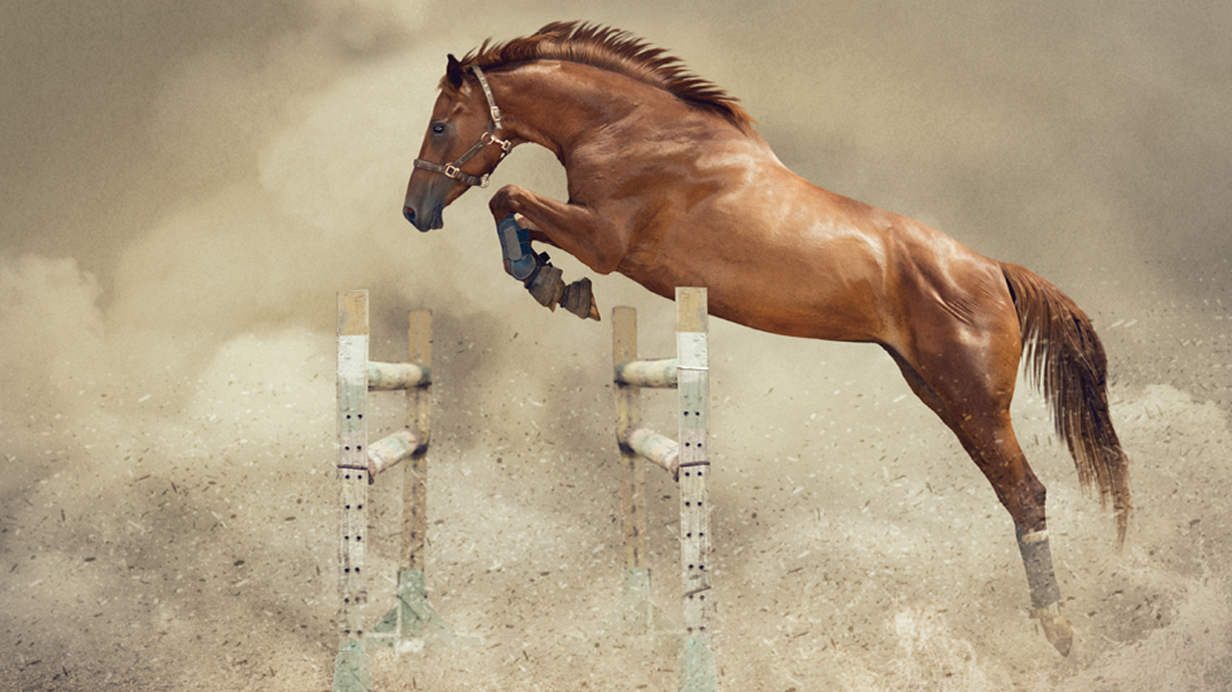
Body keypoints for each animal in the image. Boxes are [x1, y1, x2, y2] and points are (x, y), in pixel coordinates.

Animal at [402, 21, 1130, 656]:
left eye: (440, 124)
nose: (415, 211)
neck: (630, 130)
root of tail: (993, 270)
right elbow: (514, 210)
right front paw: (552, 280)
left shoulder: (604, 240)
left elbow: (508, 199)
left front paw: (550, 282)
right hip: (941, 395)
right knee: (1014, 492)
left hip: (974, 401)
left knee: (1026, 493)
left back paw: (1059, 629)